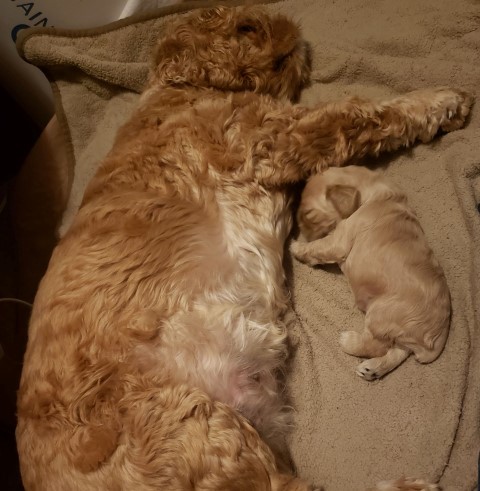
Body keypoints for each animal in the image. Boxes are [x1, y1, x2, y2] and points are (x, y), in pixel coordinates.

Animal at [291, 166, 451, 380]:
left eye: (308, 213)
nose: (302, 233)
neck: (371, 192)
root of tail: (435, 337)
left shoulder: (339, 239)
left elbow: (317, 247)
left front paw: (295, 247)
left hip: (382, 313)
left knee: (375, 345)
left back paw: (348, 341)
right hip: (401, 333)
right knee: (395, 351)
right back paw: (372, 370)